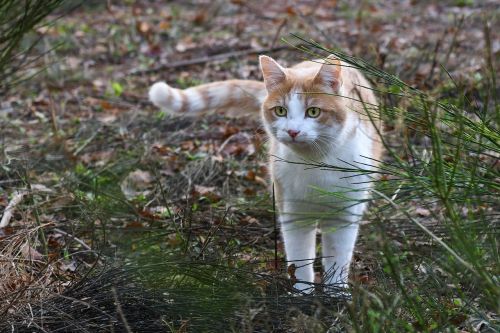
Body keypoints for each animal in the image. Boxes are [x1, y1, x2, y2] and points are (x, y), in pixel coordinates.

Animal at [148, 55, 382, 294]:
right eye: (280, 111)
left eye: (313, 112)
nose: (293, 131)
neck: (315, 162)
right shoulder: (293, 213)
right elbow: (299, 258)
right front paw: (302, 293)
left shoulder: (344, 216)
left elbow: (338, 259)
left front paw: (336, 294)